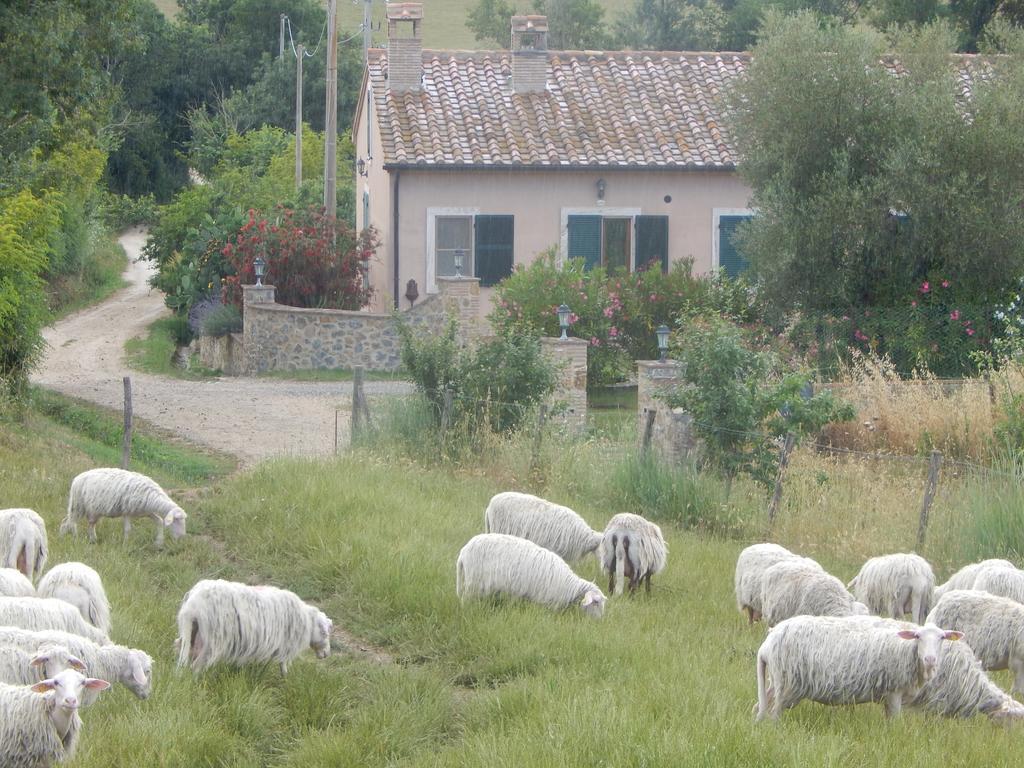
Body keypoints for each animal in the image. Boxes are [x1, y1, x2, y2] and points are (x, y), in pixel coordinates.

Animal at [59, 466, 188, 548]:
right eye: (177, 520)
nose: (182, 537)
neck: (153, 497)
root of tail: (77, 478)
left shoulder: (146, 512)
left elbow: (160, 521)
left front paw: (159, 543)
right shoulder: (127, 511)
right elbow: (128, 529)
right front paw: (125, 546)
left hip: (94, 510)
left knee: (87, 523)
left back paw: (90, 539)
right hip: (78, 505)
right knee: (70, 521)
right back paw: (73, 538)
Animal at [175, 581, 331, 675]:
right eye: (325, 633)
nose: (326, 655)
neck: (307, 620)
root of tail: (193, 606)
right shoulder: (286, 645)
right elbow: (283, 664)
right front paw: (285, 677)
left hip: (192, 634)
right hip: (213, 641)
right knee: (197, 665)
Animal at [456, 536, 606, 618]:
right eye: (596, 602)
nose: (600, 621)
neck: (570, 586)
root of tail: (463, 552)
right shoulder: (548, 602)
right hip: (473, 584)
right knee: (465, 600)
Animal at [757, 614, 962, 720]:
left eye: (942, 638)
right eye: (918, 637)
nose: (930, 659)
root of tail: (768, 641)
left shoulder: (888, 696)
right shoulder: (894, 691)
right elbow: (896, 722)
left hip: (776, 682)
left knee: (760, 707)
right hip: (786, 684)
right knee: (774, 714)